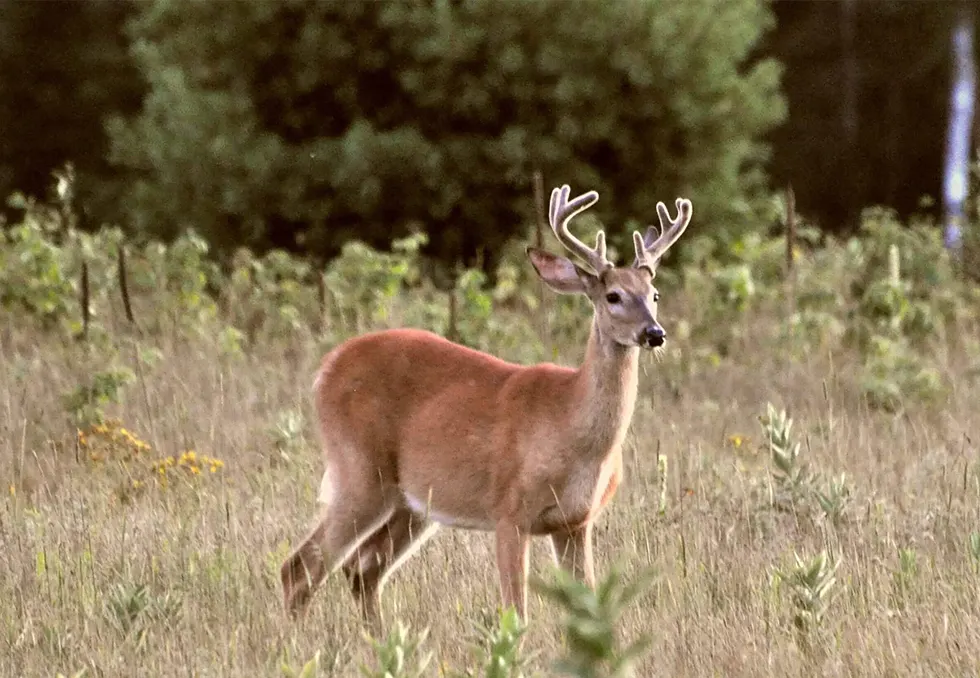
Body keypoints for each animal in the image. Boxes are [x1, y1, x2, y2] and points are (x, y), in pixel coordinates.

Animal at [280, 184, 693, 626]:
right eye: (613, 296)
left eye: (654, 294)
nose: (654, 333)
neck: (570, 424)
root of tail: (327, 367)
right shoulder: (509, 510)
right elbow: (516, 614)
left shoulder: (575, 523)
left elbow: (590, 609)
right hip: (360, 471)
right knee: (301, 566)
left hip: (412, 504)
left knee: (362, 569)